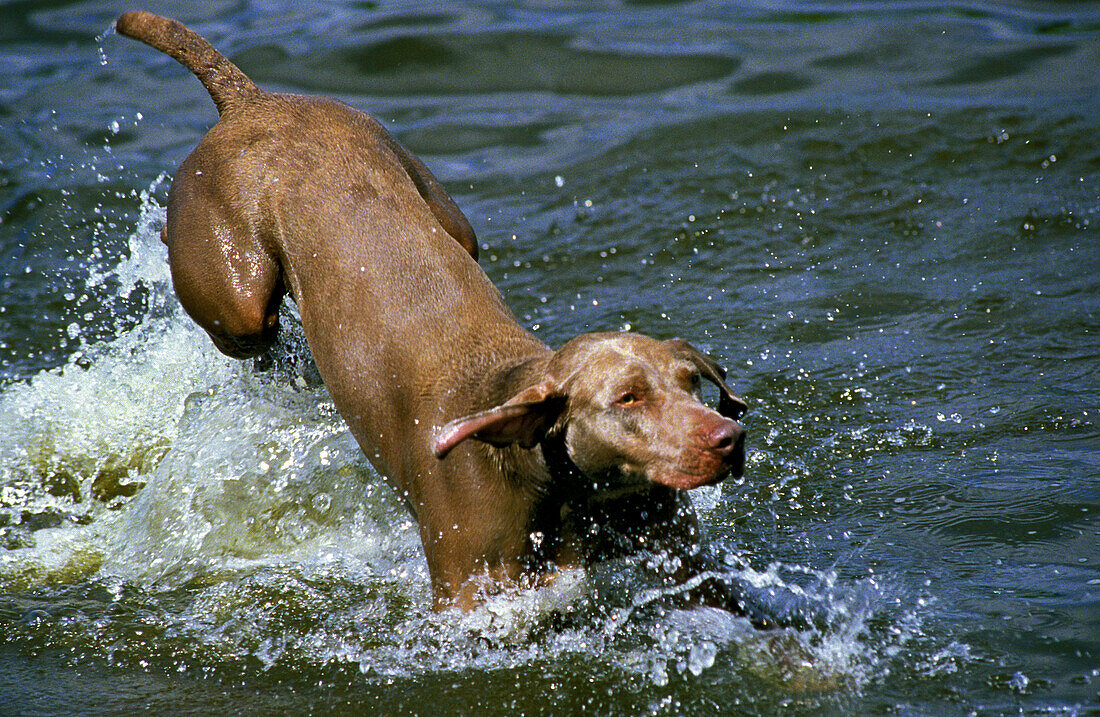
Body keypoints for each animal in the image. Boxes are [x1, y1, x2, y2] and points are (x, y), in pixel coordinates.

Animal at [116, 11, 774, 624]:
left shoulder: (685, 563)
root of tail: (250, 99)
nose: (729, 439)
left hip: (445, 212)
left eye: (691, 384)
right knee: (239, 310)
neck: (550, 477)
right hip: (238, 294)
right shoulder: (465, 599)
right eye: (627, 398)